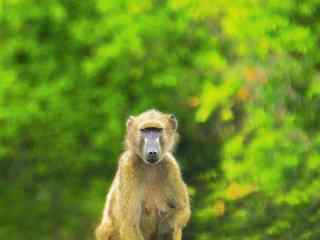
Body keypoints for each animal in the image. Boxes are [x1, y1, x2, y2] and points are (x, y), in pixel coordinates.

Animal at [95, 109, 190, 240]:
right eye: (145, 130)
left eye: (157, 130)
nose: (152, 152)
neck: (149, 167)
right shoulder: (128, 165)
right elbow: (130, 224)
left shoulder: (170, 164)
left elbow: (182, 209)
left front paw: (166, 225)